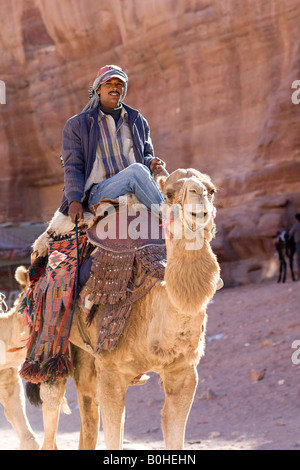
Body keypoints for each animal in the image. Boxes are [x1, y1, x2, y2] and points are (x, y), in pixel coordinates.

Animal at [29, 167, 220, 450]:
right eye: (169, 193)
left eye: (212, 189)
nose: (199, 196)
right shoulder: (111, 370)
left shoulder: (183, 372)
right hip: (50, 330)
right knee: (51, 395)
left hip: (85, 354)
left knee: (87, 405)